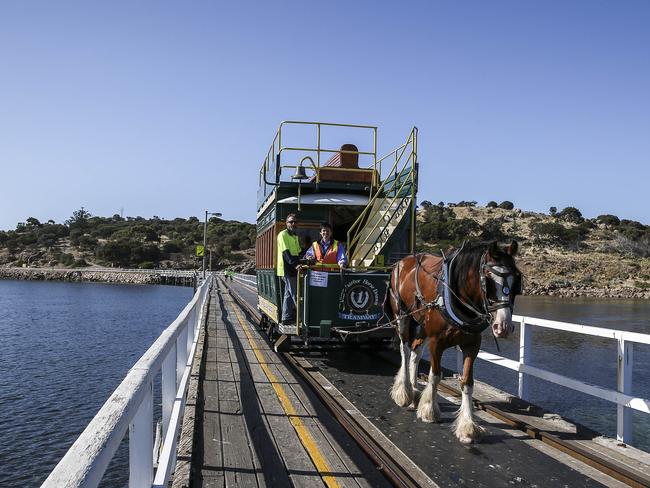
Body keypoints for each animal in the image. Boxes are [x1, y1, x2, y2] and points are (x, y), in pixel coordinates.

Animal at [384, 242, 520, 444]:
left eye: (515, 280)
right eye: (488, 279)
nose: (503, 326)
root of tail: (402, 261)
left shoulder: (472, 345)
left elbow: (467, 383)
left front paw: (467, 426)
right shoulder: (436, 342)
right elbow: (435, 376)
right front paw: (429, 411)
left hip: (422, 324)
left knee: (416, 352)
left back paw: (415, 390)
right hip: (403, 316)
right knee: (406, 350)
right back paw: (404, 392)